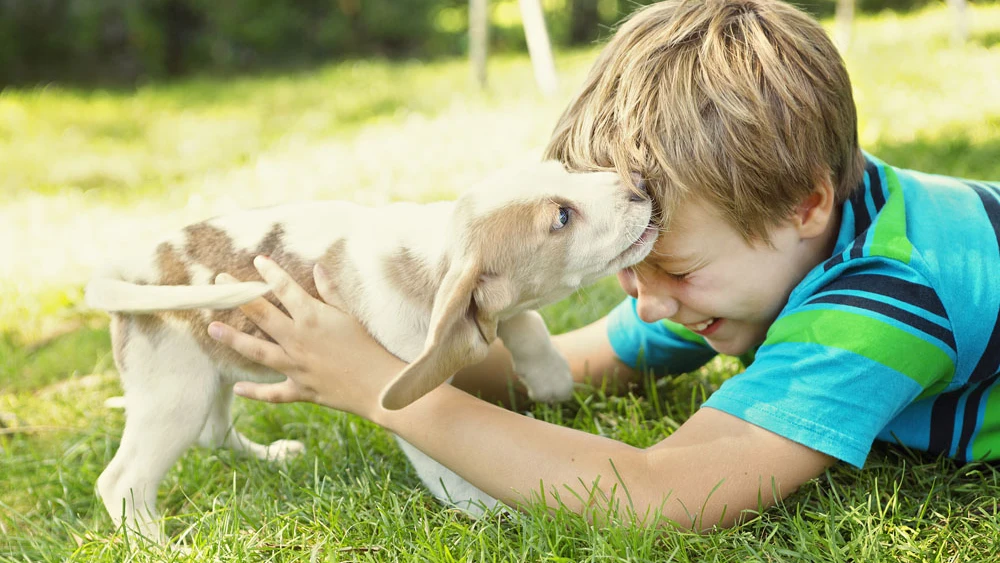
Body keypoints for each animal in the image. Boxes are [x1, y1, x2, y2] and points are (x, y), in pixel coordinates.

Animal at [86, 162, 656, 540]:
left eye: (566, 169)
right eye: (561, 217)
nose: (638, 184)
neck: (431, 254)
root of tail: (129, 271)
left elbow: (526, 320)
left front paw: (549, 376)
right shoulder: (417, 400)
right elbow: (449, 470)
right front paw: (495, 514)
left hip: (210, 374)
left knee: (214, 433)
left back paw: (270, 456)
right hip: (175, 392)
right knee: (122, 481)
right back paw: (158, 544)